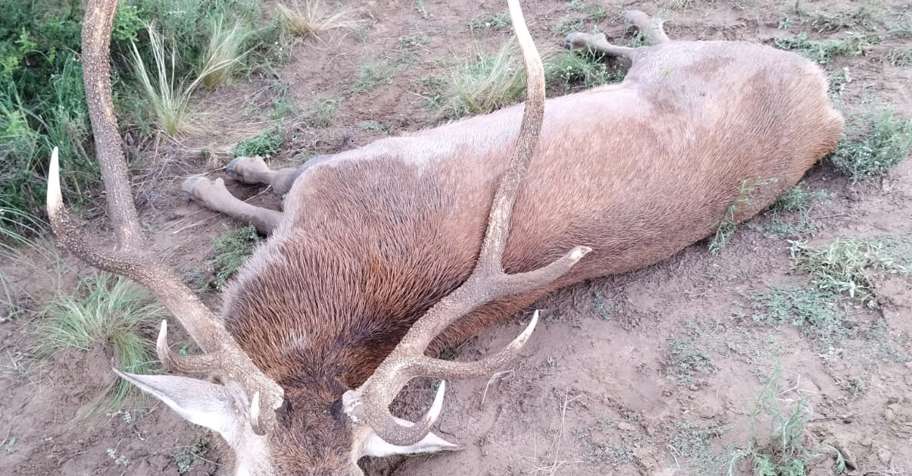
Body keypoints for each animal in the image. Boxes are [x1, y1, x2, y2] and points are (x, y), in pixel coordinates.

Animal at [46, 0, 844, 474]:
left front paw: (214, 176)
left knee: (667, 41)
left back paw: (604, 26)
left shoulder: (331, 173)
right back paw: (602, 26)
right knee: (662, 38)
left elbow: (265, 188)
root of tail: (825, 95)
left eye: (354, 470)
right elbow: (268, 197)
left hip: (690, 64)